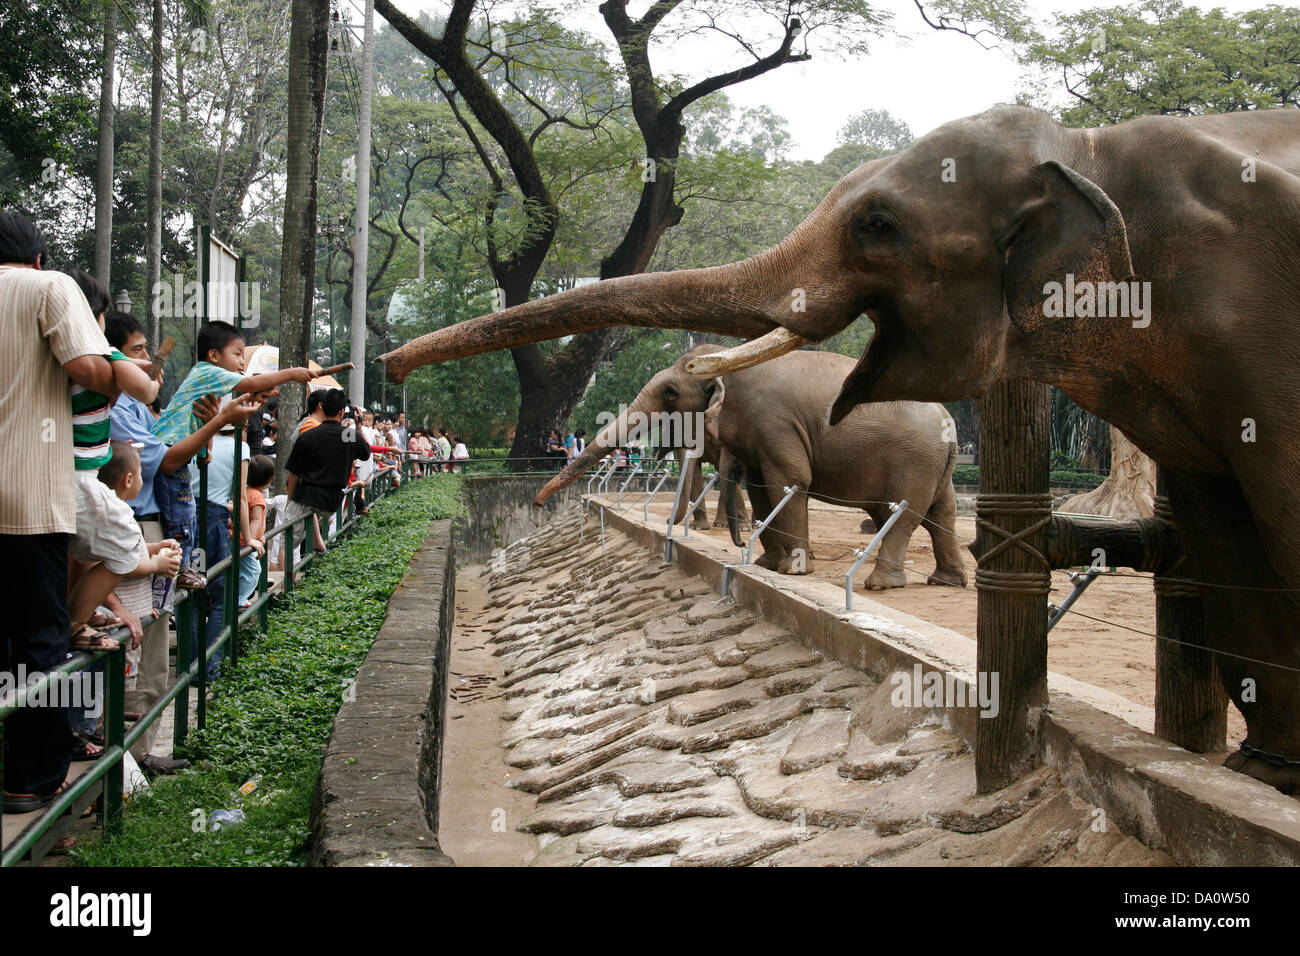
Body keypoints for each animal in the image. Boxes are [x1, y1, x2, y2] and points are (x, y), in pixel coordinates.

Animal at [534, 346, 967, 590]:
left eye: (671, 392)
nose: (537, 503)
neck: (734, 356)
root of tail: (950, 422)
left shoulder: (775, 422)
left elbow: (790, 483)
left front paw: (793, 571)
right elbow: (762, 489)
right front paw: (766, 565)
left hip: (914, 460)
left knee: (906, 514)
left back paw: (880, 585)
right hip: (934, 465)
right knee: (940, 512)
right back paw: (945, 580)